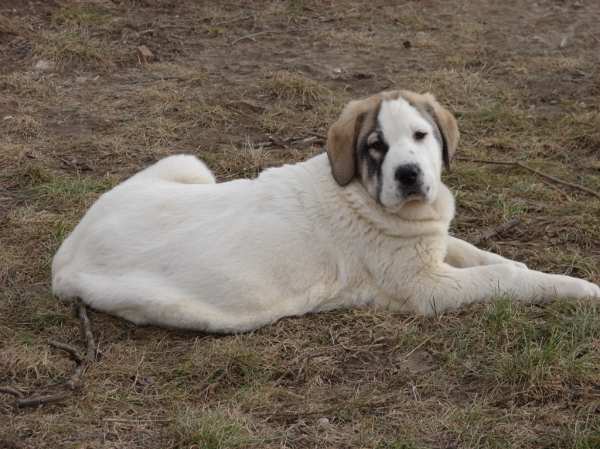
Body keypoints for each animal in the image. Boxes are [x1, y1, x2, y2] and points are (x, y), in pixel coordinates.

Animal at [52, 89, 600, 330]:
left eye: (421, 135)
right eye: (376, 147)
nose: (408, 175)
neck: (360, 194)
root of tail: (66, 253)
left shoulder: (432, 246)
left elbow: (482, 254)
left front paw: (531, 267)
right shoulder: (426, 288)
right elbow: (501, 277)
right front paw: (579, 289)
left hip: (189, 165)